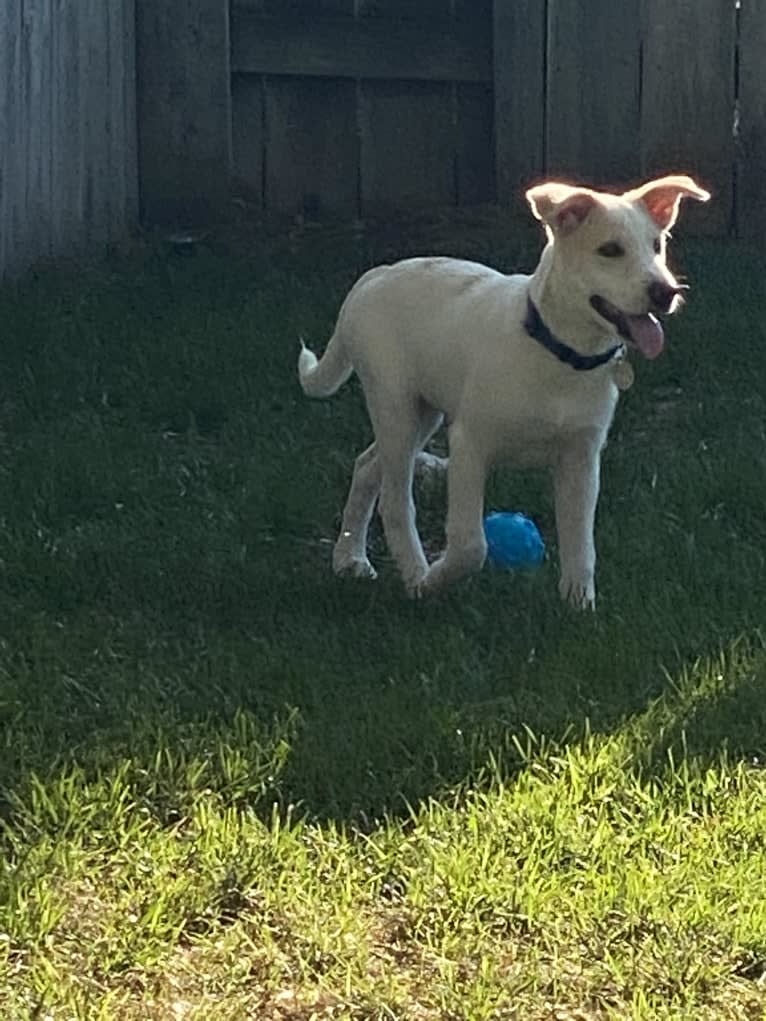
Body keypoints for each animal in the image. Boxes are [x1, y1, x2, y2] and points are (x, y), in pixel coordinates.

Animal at [296, 177, 710, 604]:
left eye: (657, 245)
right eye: (609, 250)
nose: (666, 291)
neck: (558, 354)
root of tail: (373, 276)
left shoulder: (581, 459)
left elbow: (580, 544)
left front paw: (579, 604)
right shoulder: (468, 447)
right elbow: (471, 545)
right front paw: (440, 577)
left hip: (422, 414)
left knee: (365, 466)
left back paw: (349, 558)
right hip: (396, 407)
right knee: (395, 503)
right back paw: (417, 577)